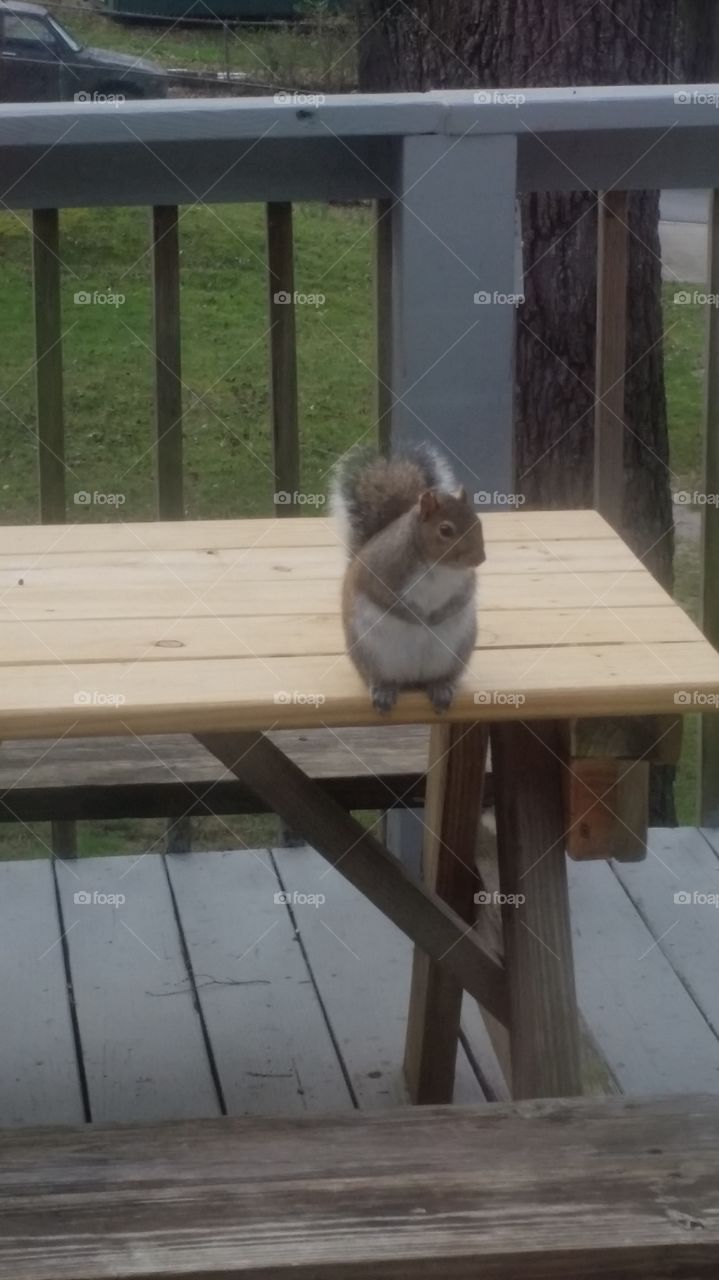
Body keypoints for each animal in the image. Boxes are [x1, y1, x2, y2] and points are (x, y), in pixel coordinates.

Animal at [331, 444, 485, 714]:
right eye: (445, 530)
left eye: (478, 522)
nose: (480, 558)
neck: (437, 567)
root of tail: (412, 678)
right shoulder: (381, 573)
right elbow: (388, 600)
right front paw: (419, 617)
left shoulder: (465, 580)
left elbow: (463, 597)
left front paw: (438, 616)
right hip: (370, 653)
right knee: (380, 677)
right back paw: (384, 690)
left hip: (456, 653)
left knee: (439, 677)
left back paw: (440, 686)